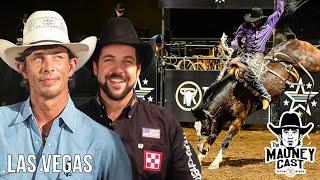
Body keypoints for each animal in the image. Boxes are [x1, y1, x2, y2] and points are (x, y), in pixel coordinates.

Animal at [191, 38, 320, 169]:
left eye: (203, 130)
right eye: (196, 129)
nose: (200, 149)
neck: (231, 92)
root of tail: (298, 41)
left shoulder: (239, 119)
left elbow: (226, 141)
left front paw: (215, 163)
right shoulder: (220, 119)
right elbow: (213, 137)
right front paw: (200, 158)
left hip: (314, 62)